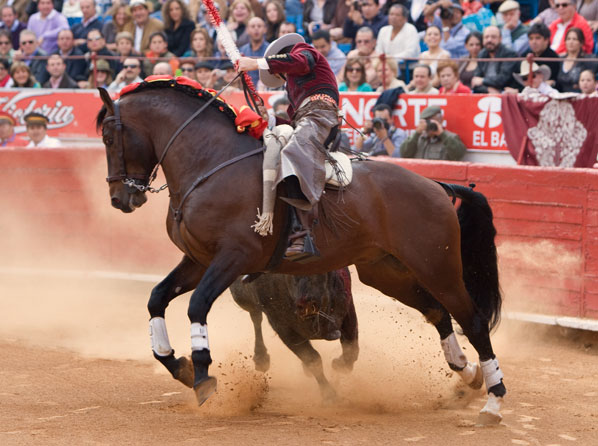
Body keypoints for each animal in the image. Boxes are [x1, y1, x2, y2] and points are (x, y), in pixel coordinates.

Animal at [230, 266, 360, 398]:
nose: (307, 303)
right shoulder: (283, 328)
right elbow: (313, 360)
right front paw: (329, 395)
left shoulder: (348, 309)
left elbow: (351, 348)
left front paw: (339, 364)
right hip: (243, 299)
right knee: (256, 316)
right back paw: (261, 359)